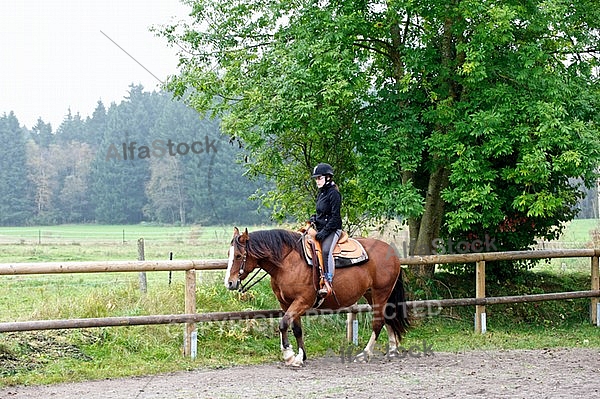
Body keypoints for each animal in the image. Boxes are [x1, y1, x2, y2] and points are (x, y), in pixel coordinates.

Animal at [223, 227, 410, 368]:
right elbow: (296, 328)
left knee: (377, 323)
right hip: (372, 295)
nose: (229, 283)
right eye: (229, 254)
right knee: (387, 318)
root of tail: (392, 253)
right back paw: (392, 350)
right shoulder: (286, 303)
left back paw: (365, 354)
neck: (287, 262)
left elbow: (283, 324)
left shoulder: (302, 301)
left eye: (238, 255)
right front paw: (301, 356)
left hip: (380, 292)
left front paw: (289, 355)